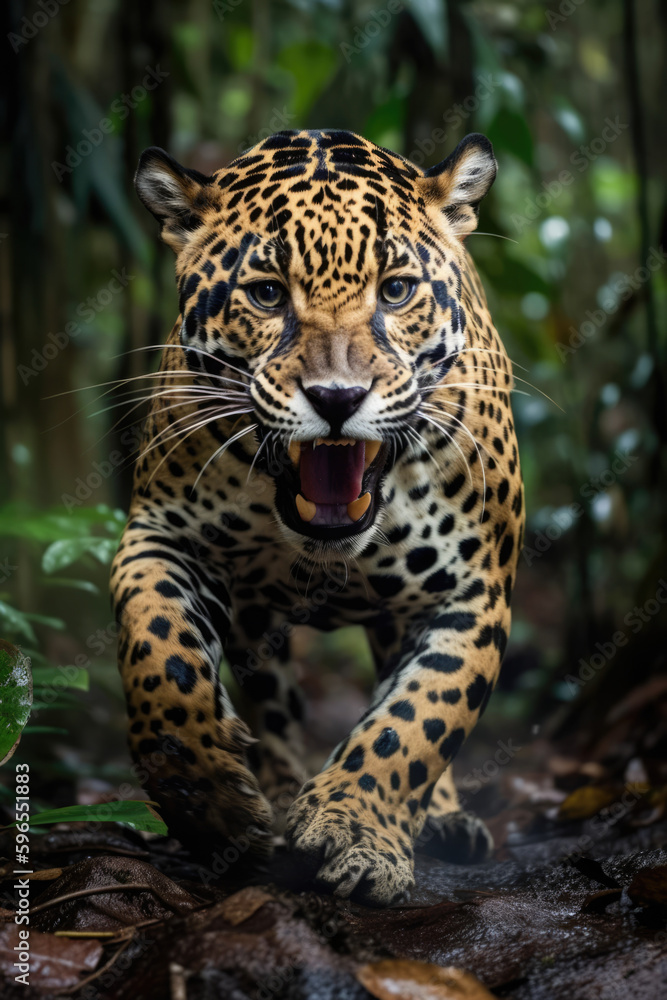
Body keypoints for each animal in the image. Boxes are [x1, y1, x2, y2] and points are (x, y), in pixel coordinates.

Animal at [110, 128, 524, 906]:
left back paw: (445, 820)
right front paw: (210, 803)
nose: (337, 397)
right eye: (268, 294)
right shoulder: (160, 535)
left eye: (396, 290)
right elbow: (158, 654)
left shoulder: (474, 588)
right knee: (270, 704)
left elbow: (419, 718)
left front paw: (354, 830)